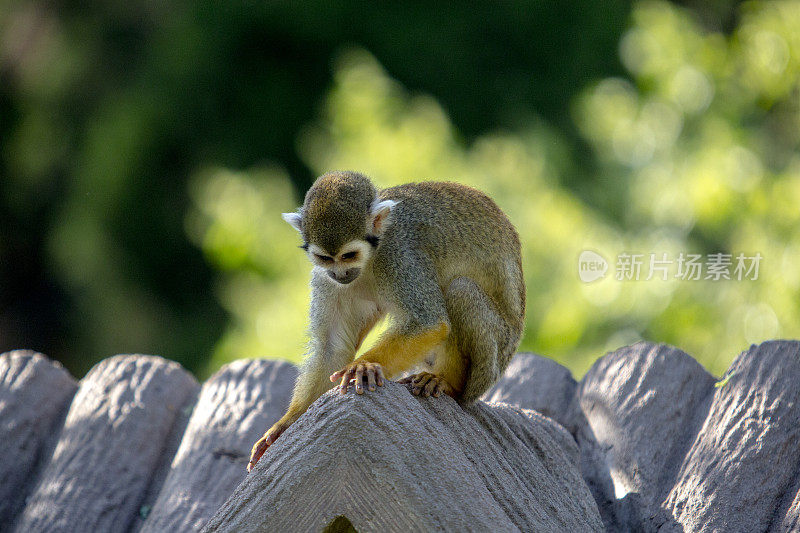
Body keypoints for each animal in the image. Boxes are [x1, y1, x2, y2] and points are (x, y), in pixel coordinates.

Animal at [247, 170, 528, 470]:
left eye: (349, 255)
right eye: (325, 258)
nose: (340, 274)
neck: (373, 255)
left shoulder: (399, 253)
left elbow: (429, 323)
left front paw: (361, 366)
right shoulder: (324, 278)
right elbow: (332, 345)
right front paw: (285, 424)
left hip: (492, 361)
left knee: (460, 290)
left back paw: (447, 383)